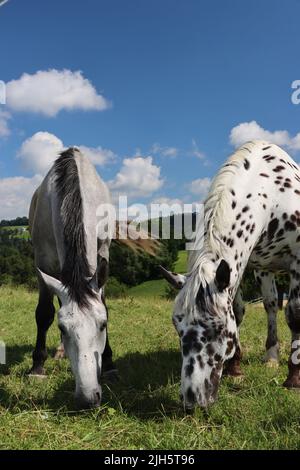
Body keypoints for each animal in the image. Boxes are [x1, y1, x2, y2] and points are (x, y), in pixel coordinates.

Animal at [28, 147, 115, 408]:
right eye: (63, 328)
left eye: (102, 325)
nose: (88, 397)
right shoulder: (43, 261)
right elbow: (44, 313)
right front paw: (37, 366)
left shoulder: (102, 252)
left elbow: (104, 302)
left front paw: (109, 363)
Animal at [161, 141, 300, 410]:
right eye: (177, 327)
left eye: (217, 329)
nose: (192, 399)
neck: (274, 195)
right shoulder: (241, 266)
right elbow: (238, 310)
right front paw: (235, 369)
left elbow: (295, 314)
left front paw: (294, 378)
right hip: (264, 270)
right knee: (271, 306)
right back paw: (271, 357)